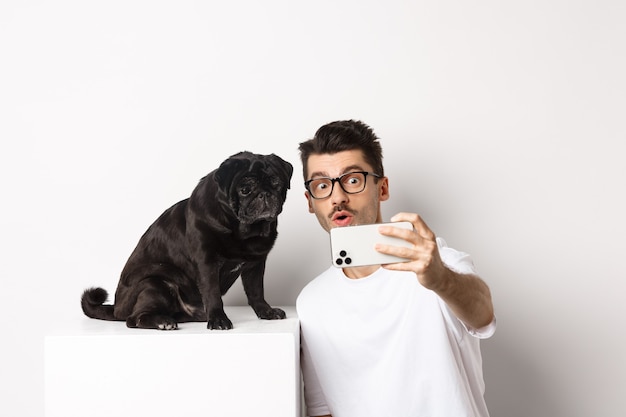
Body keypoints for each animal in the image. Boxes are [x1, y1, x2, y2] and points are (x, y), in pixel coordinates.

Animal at [80, 151, 292, 330]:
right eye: (245, 189)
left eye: (276, 183)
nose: (264, 194)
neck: (242, 229)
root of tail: (116, 308)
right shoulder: (207, 262)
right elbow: (213, 294)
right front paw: (219, 319)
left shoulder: (255, 264)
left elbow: (256, 292)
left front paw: (266, 312)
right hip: (155, 283)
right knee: (134, 319)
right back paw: (162, 322)